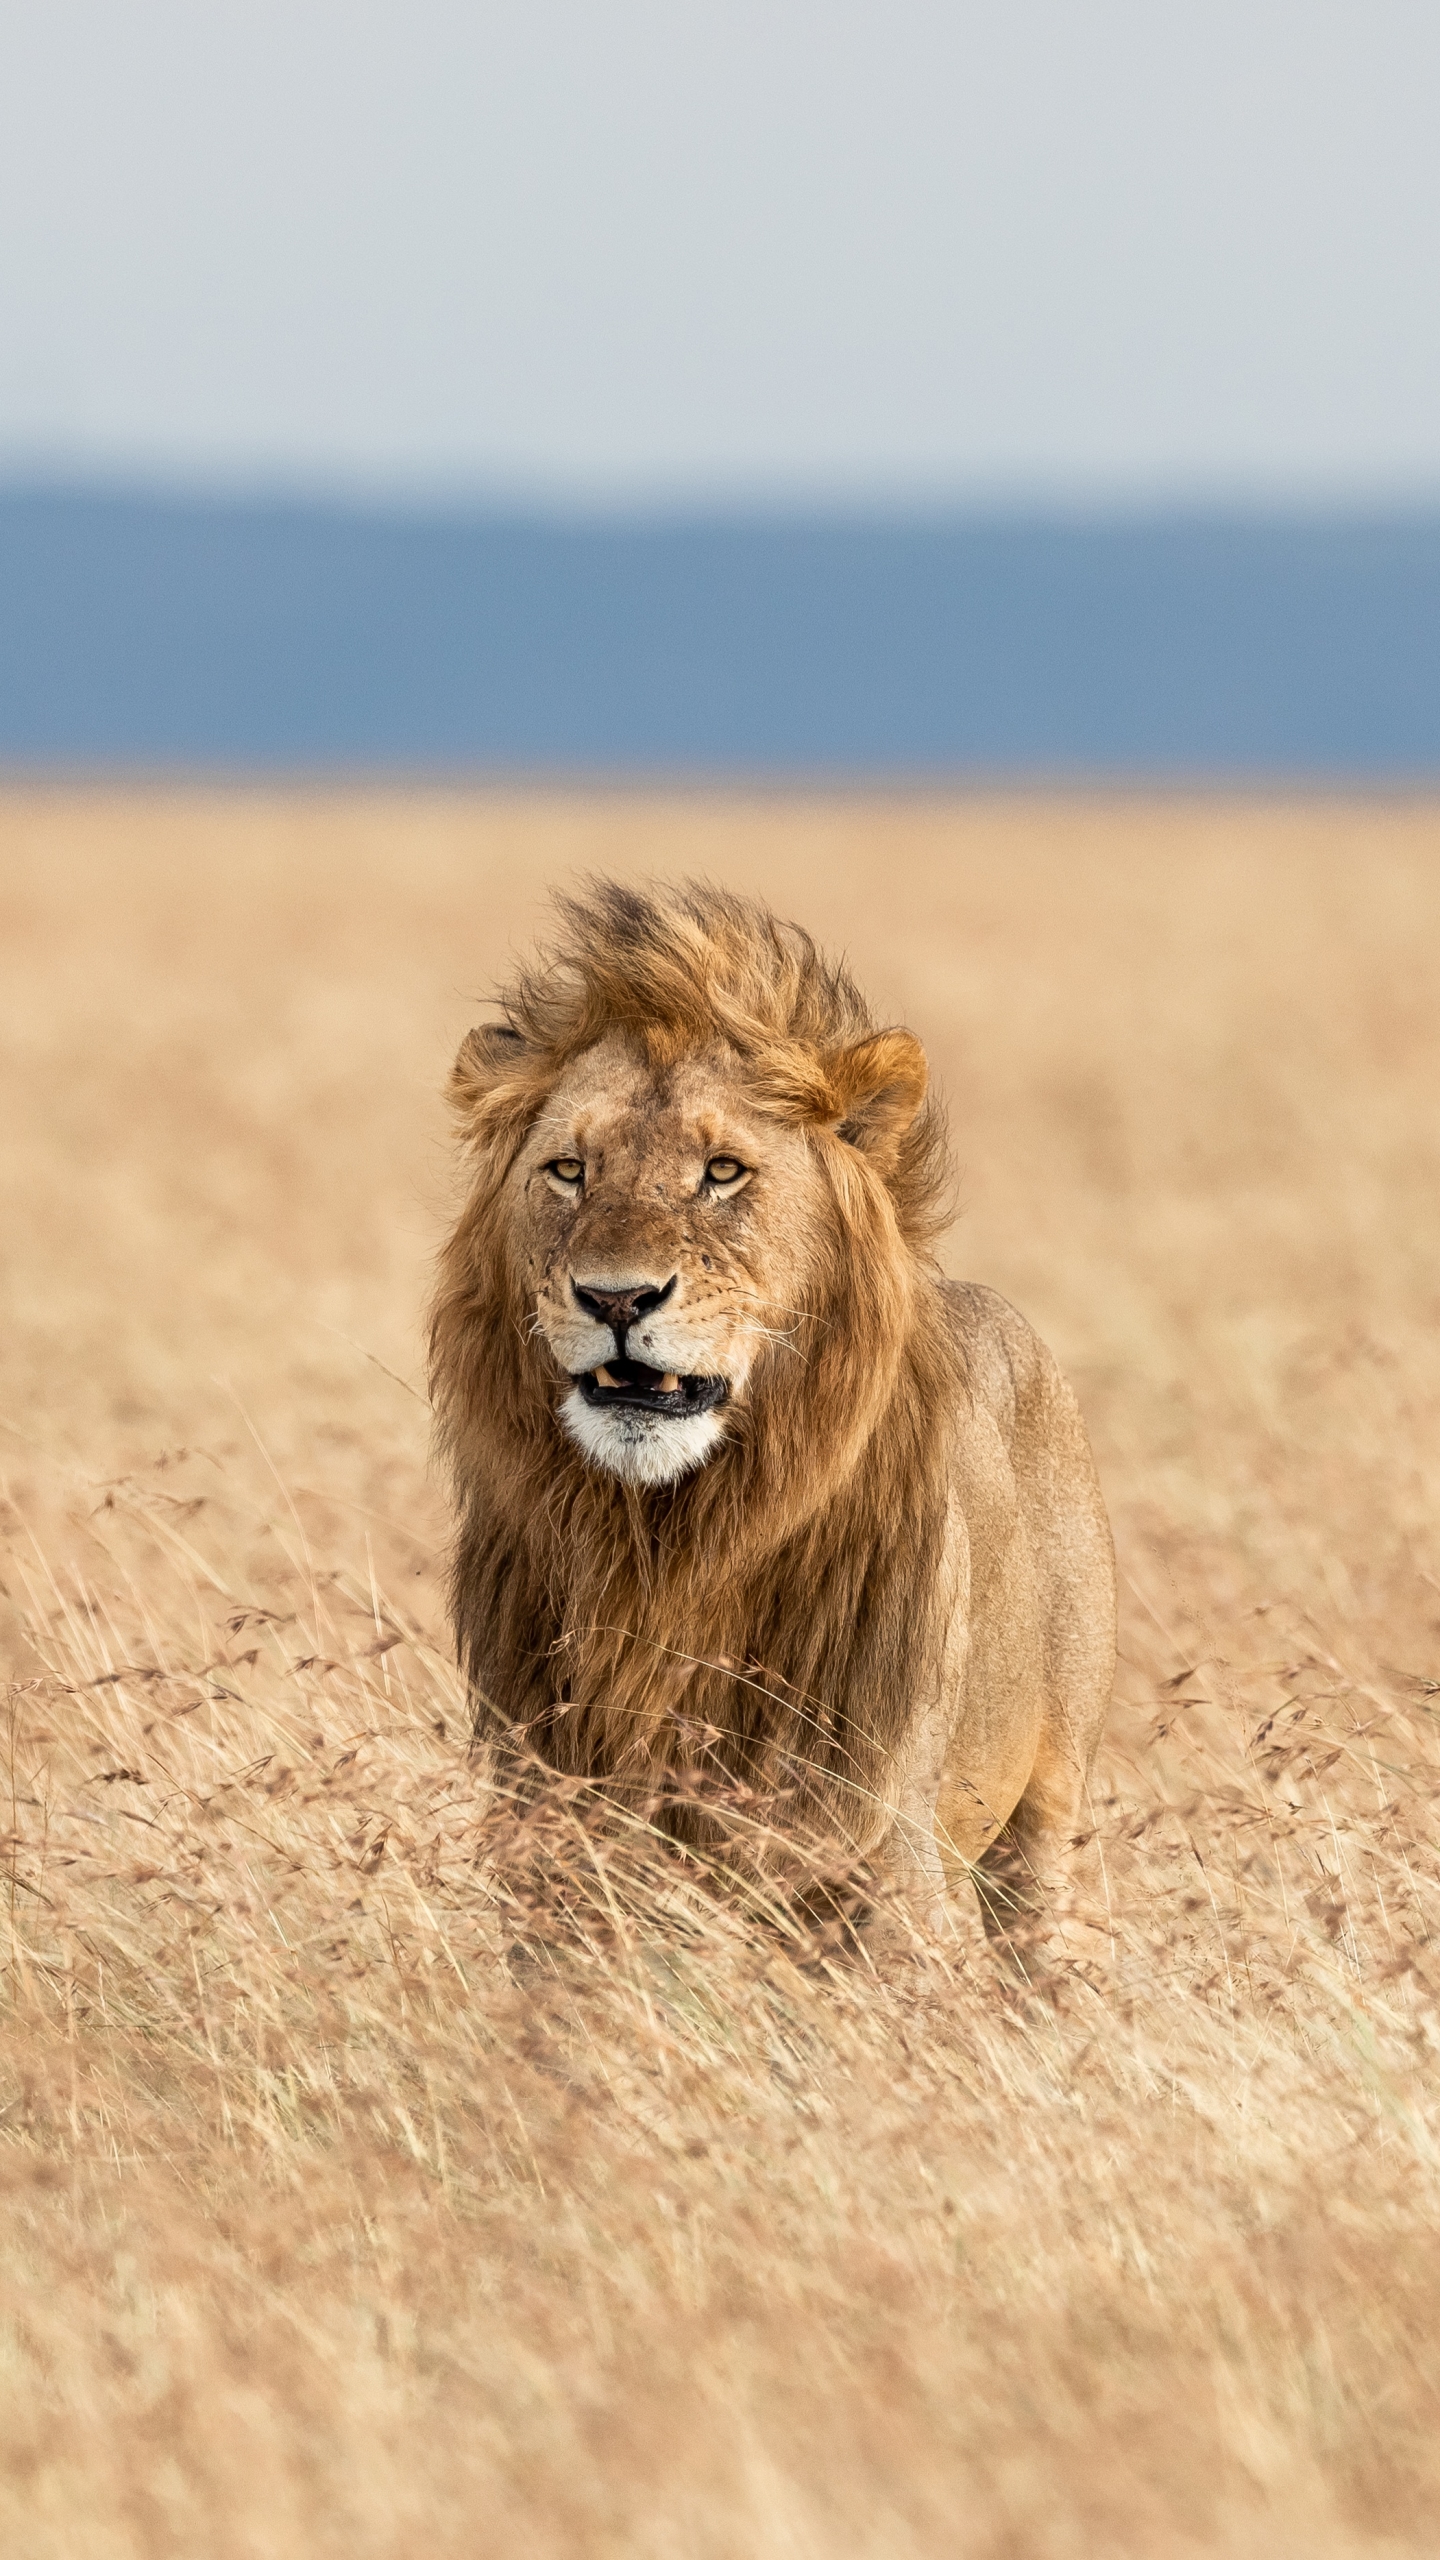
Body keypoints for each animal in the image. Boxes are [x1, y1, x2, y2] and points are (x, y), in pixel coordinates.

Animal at [430, 880, 1117, 1955]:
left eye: (722, 1171)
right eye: (569, 1171)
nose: (616, 1298)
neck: (664, 1545)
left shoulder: (879, 1850)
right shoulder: (555, 1844)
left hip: (1052, 1816)